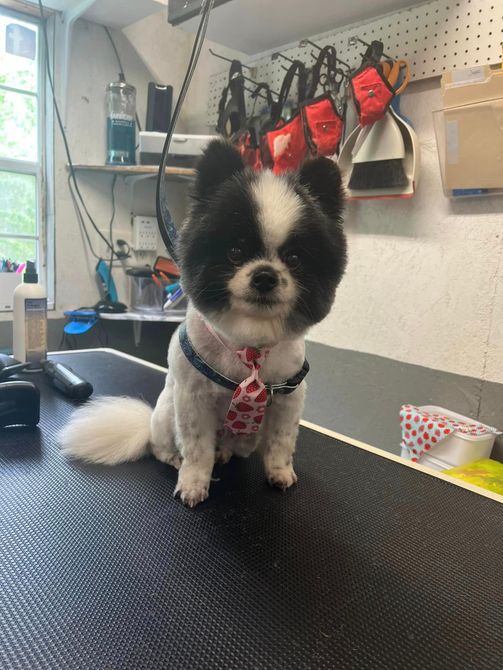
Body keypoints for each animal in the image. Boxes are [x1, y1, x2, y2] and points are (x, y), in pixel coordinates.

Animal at [60, 143, 346, 510]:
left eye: (295, 259)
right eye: (235, 252)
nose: (265, 276)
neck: (248, 345)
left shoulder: (288, 398)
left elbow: (281, 442)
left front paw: (280, 472)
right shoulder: (193, 401)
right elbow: (197, 449)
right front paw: (194, 482)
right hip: (167, 414)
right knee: (160, 446)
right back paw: (176, 457)